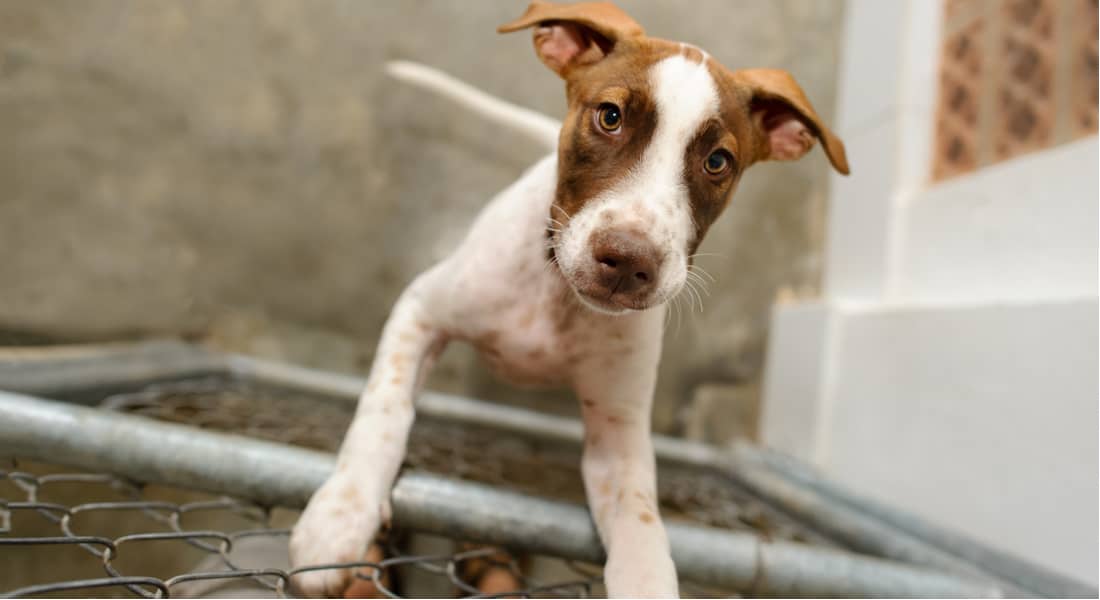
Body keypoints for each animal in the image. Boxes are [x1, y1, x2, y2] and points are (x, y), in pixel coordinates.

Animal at [288, 2, 844, 594]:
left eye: (718, 162)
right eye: (610, 116)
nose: (629, 261)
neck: (556, 293)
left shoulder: (617, 436)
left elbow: (641, 520)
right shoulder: (419, 310)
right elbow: (383, 410)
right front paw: (339, 519)